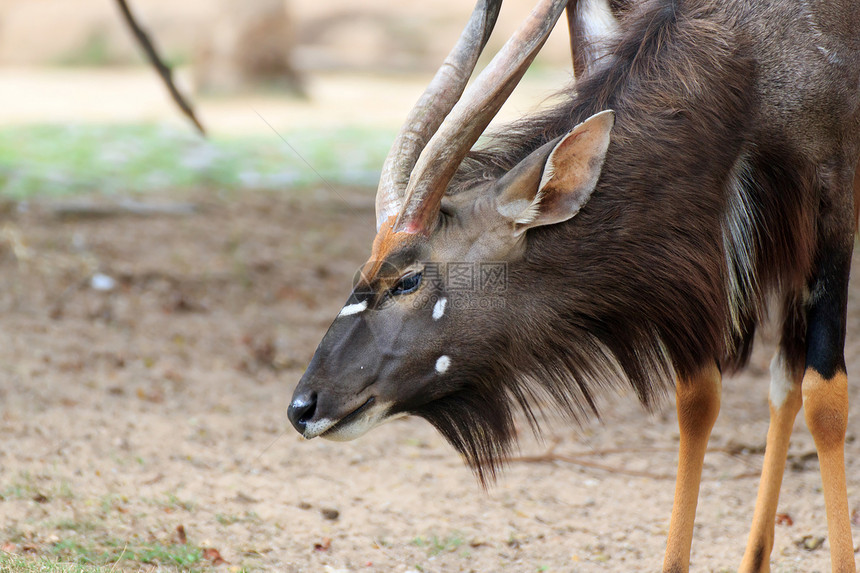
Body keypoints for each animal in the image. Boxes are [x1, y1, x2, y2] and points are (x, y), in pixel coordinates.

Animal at [288, 0, 860, 568]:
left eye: (407, 279)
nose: (303, 407)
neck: (751, 57)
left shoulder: (833, 207)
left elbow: (825, 398)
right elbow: (698, 398)